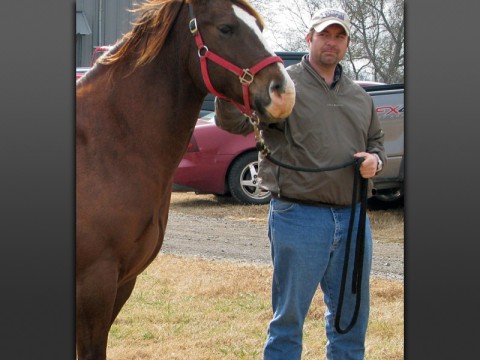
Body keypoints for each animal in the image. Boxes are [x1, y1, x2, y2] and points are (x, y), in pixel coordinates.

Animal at [74, 0, 294, 358]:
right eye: (226, 28)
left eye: (259, 27)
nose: (283, 92)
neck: (105, 144)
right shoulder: (94, 283)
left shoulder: (123, 281)